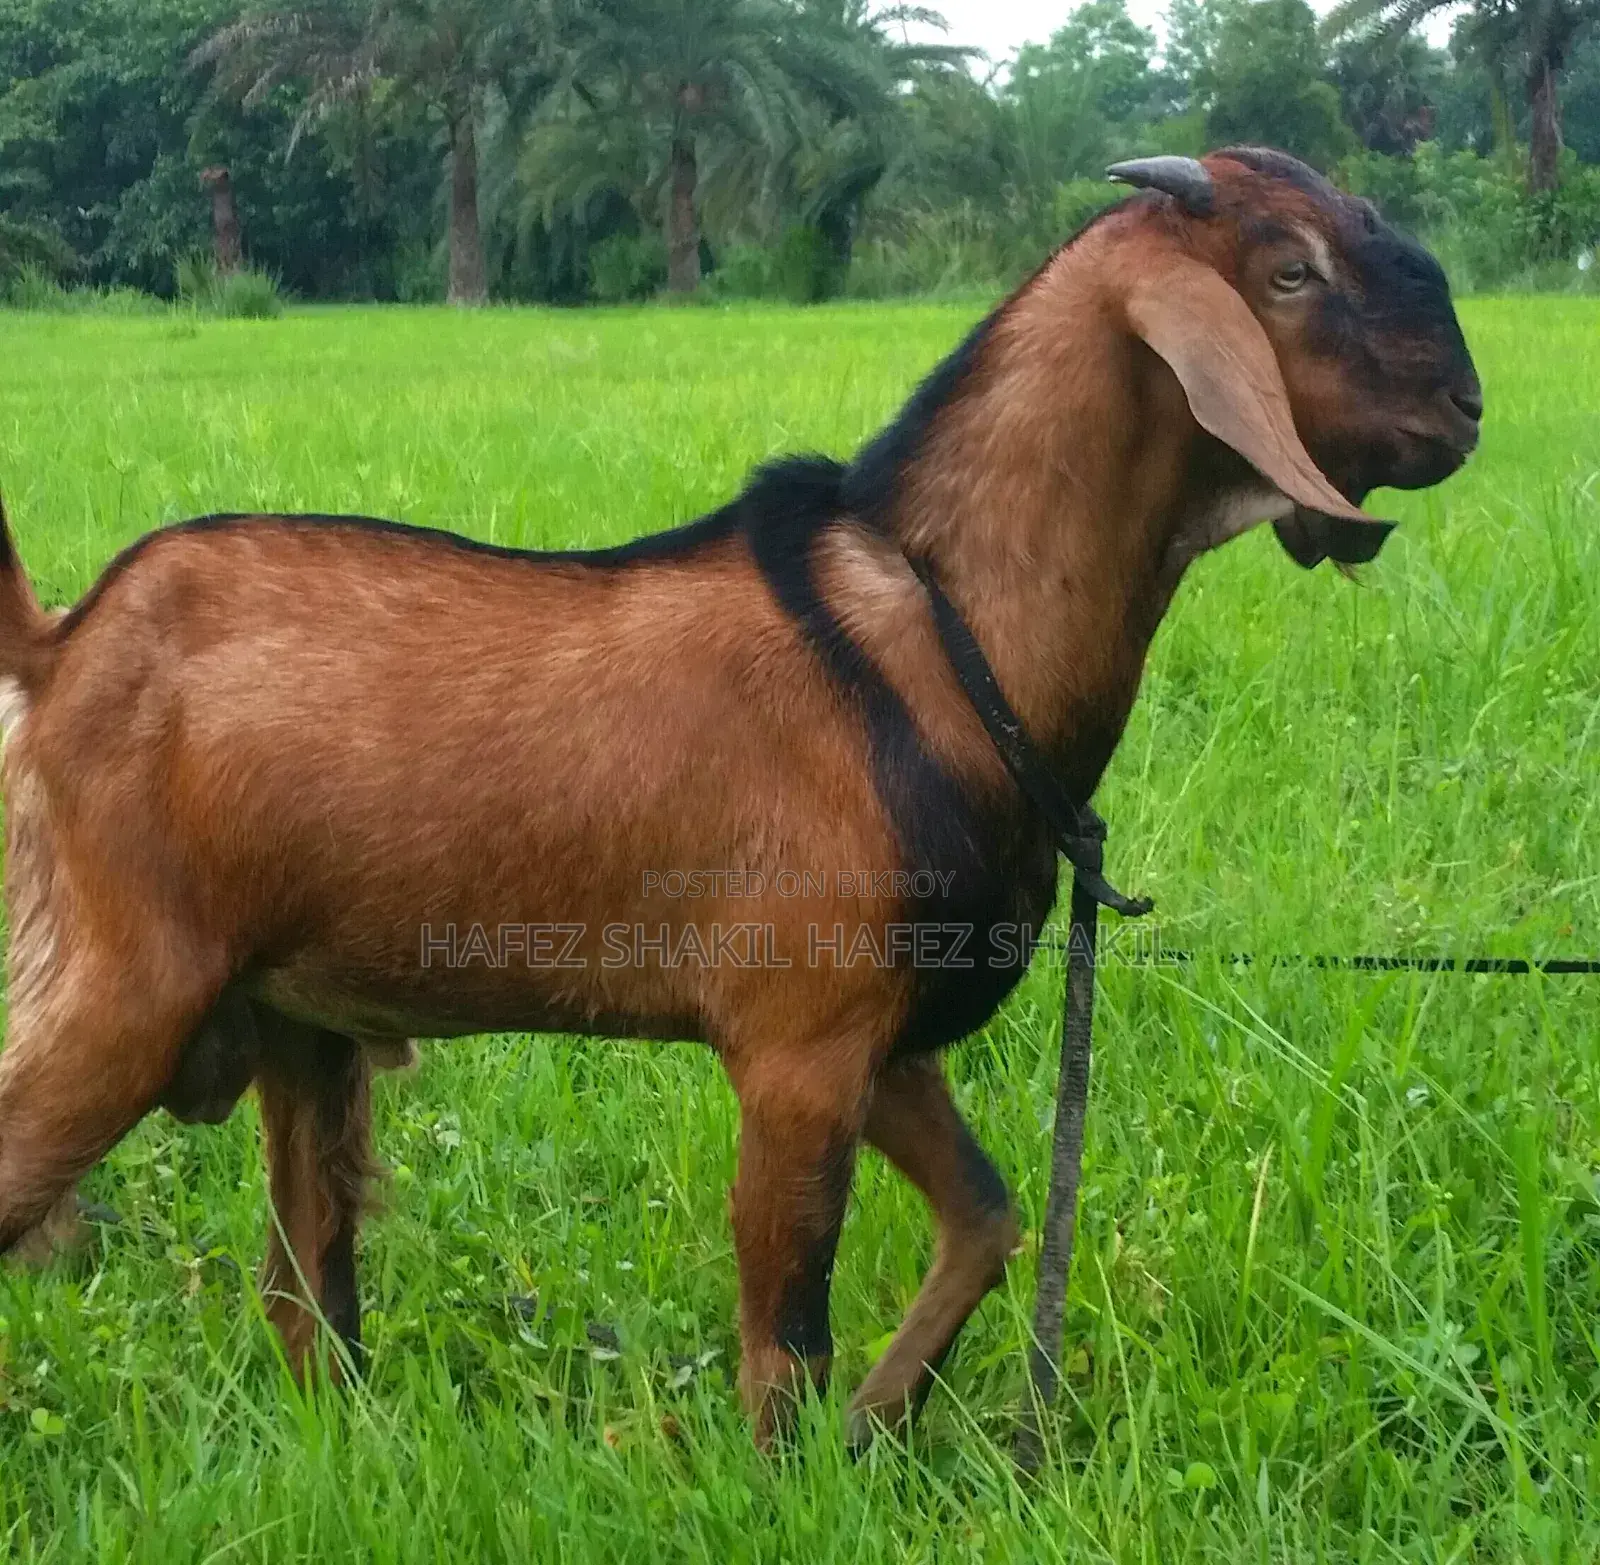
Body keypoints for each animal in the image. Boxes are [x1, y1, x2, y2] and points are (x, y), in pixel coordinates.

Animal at [0, 148, 1480, 1447]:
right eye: (1289, 269)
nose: (1464, 411)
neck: (942, 635)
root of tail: (66, 642)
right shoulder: (796, 1045)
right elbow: (785, 1336)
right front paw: (799, 1473)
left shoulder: (884, 1039)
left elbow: (990, 1217)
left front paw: (883, 1425)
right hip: (131, 982)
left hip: (298, 1019)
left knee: (309, 1289)